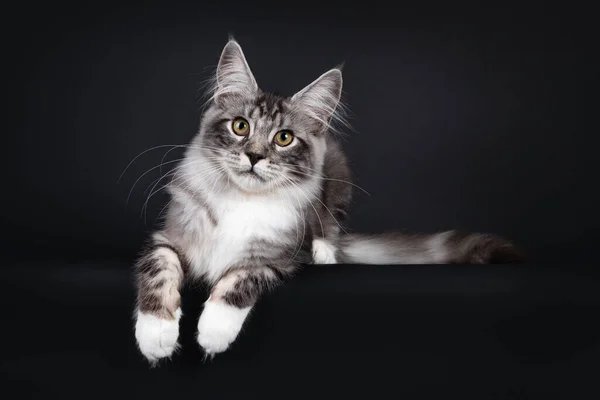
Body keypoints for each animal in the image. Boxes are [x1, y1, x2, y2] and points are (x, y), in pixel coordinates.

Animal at [132, 39, 524, 364]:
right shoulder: (170, 238)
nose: (255, 156)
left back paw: (324, 253)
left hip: (335, 176)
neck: (243, 200)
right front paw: (155, 334)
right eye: (240, 126)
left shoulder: (282, 258)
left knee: (330, 230)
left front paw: (214, 329)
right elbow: (159, 269)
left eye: (284, 138)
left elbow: (240, 277)